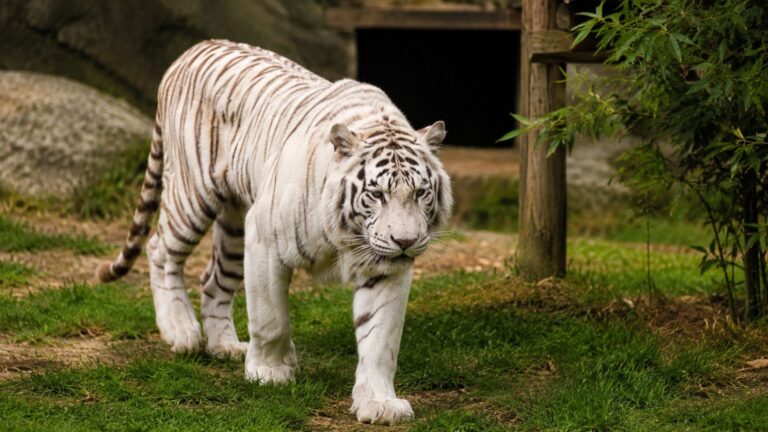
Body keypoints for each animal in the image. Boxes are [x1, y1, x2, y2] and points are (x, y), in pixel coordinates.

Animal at [96, 39, 452, 425]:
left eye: (420, 192)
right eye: (377, 194)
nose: (406, 242)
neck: (347, 234)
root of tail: (194, 49)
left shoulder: (385, 266)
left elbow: (380, 339)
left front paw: (379, 403)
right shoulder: (265, 240)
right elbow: (271, 319)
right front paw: (270, 372)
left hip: (235, 227)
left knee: (212, 280)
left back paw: (225, 346)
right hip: (191, 196)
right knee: (161, 251)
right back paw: (181, 331)